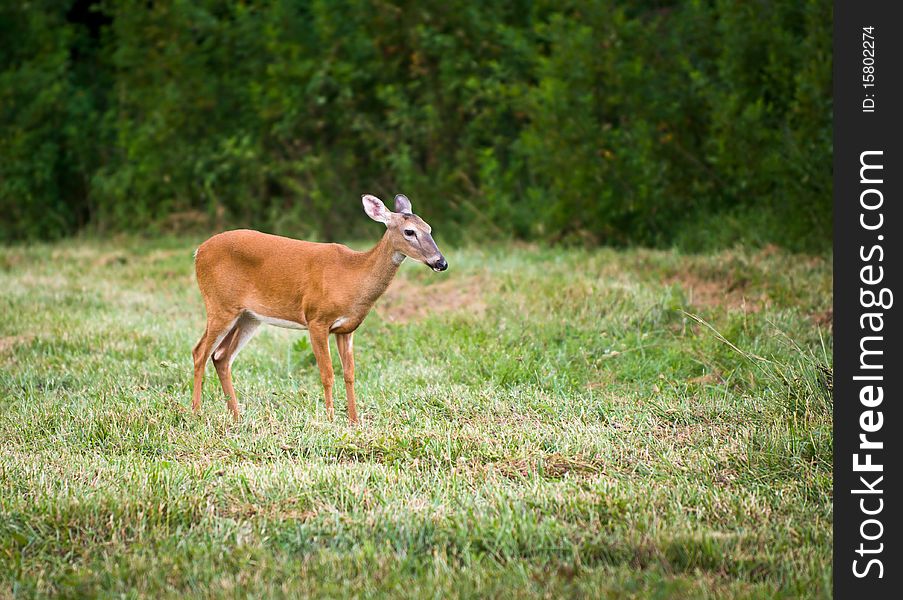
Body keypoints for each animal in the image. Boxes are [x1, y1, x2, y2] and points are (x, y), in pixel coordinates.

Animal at [192, 193, 448, 422]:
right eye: (409, 232)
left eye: (429, 228)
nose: (441, 262)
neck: (352, 276)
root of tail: (198, 251)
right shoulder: (316, 319)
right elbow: (327, 374)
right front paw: (331, 419)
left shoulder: (347, 329)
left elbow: (349, 373)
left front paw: (354, 420)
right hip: (219, 304)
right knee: (199, 352)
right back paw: (197, 412)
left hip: (248, 316)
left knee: (221, 356)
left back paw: (236, 415)